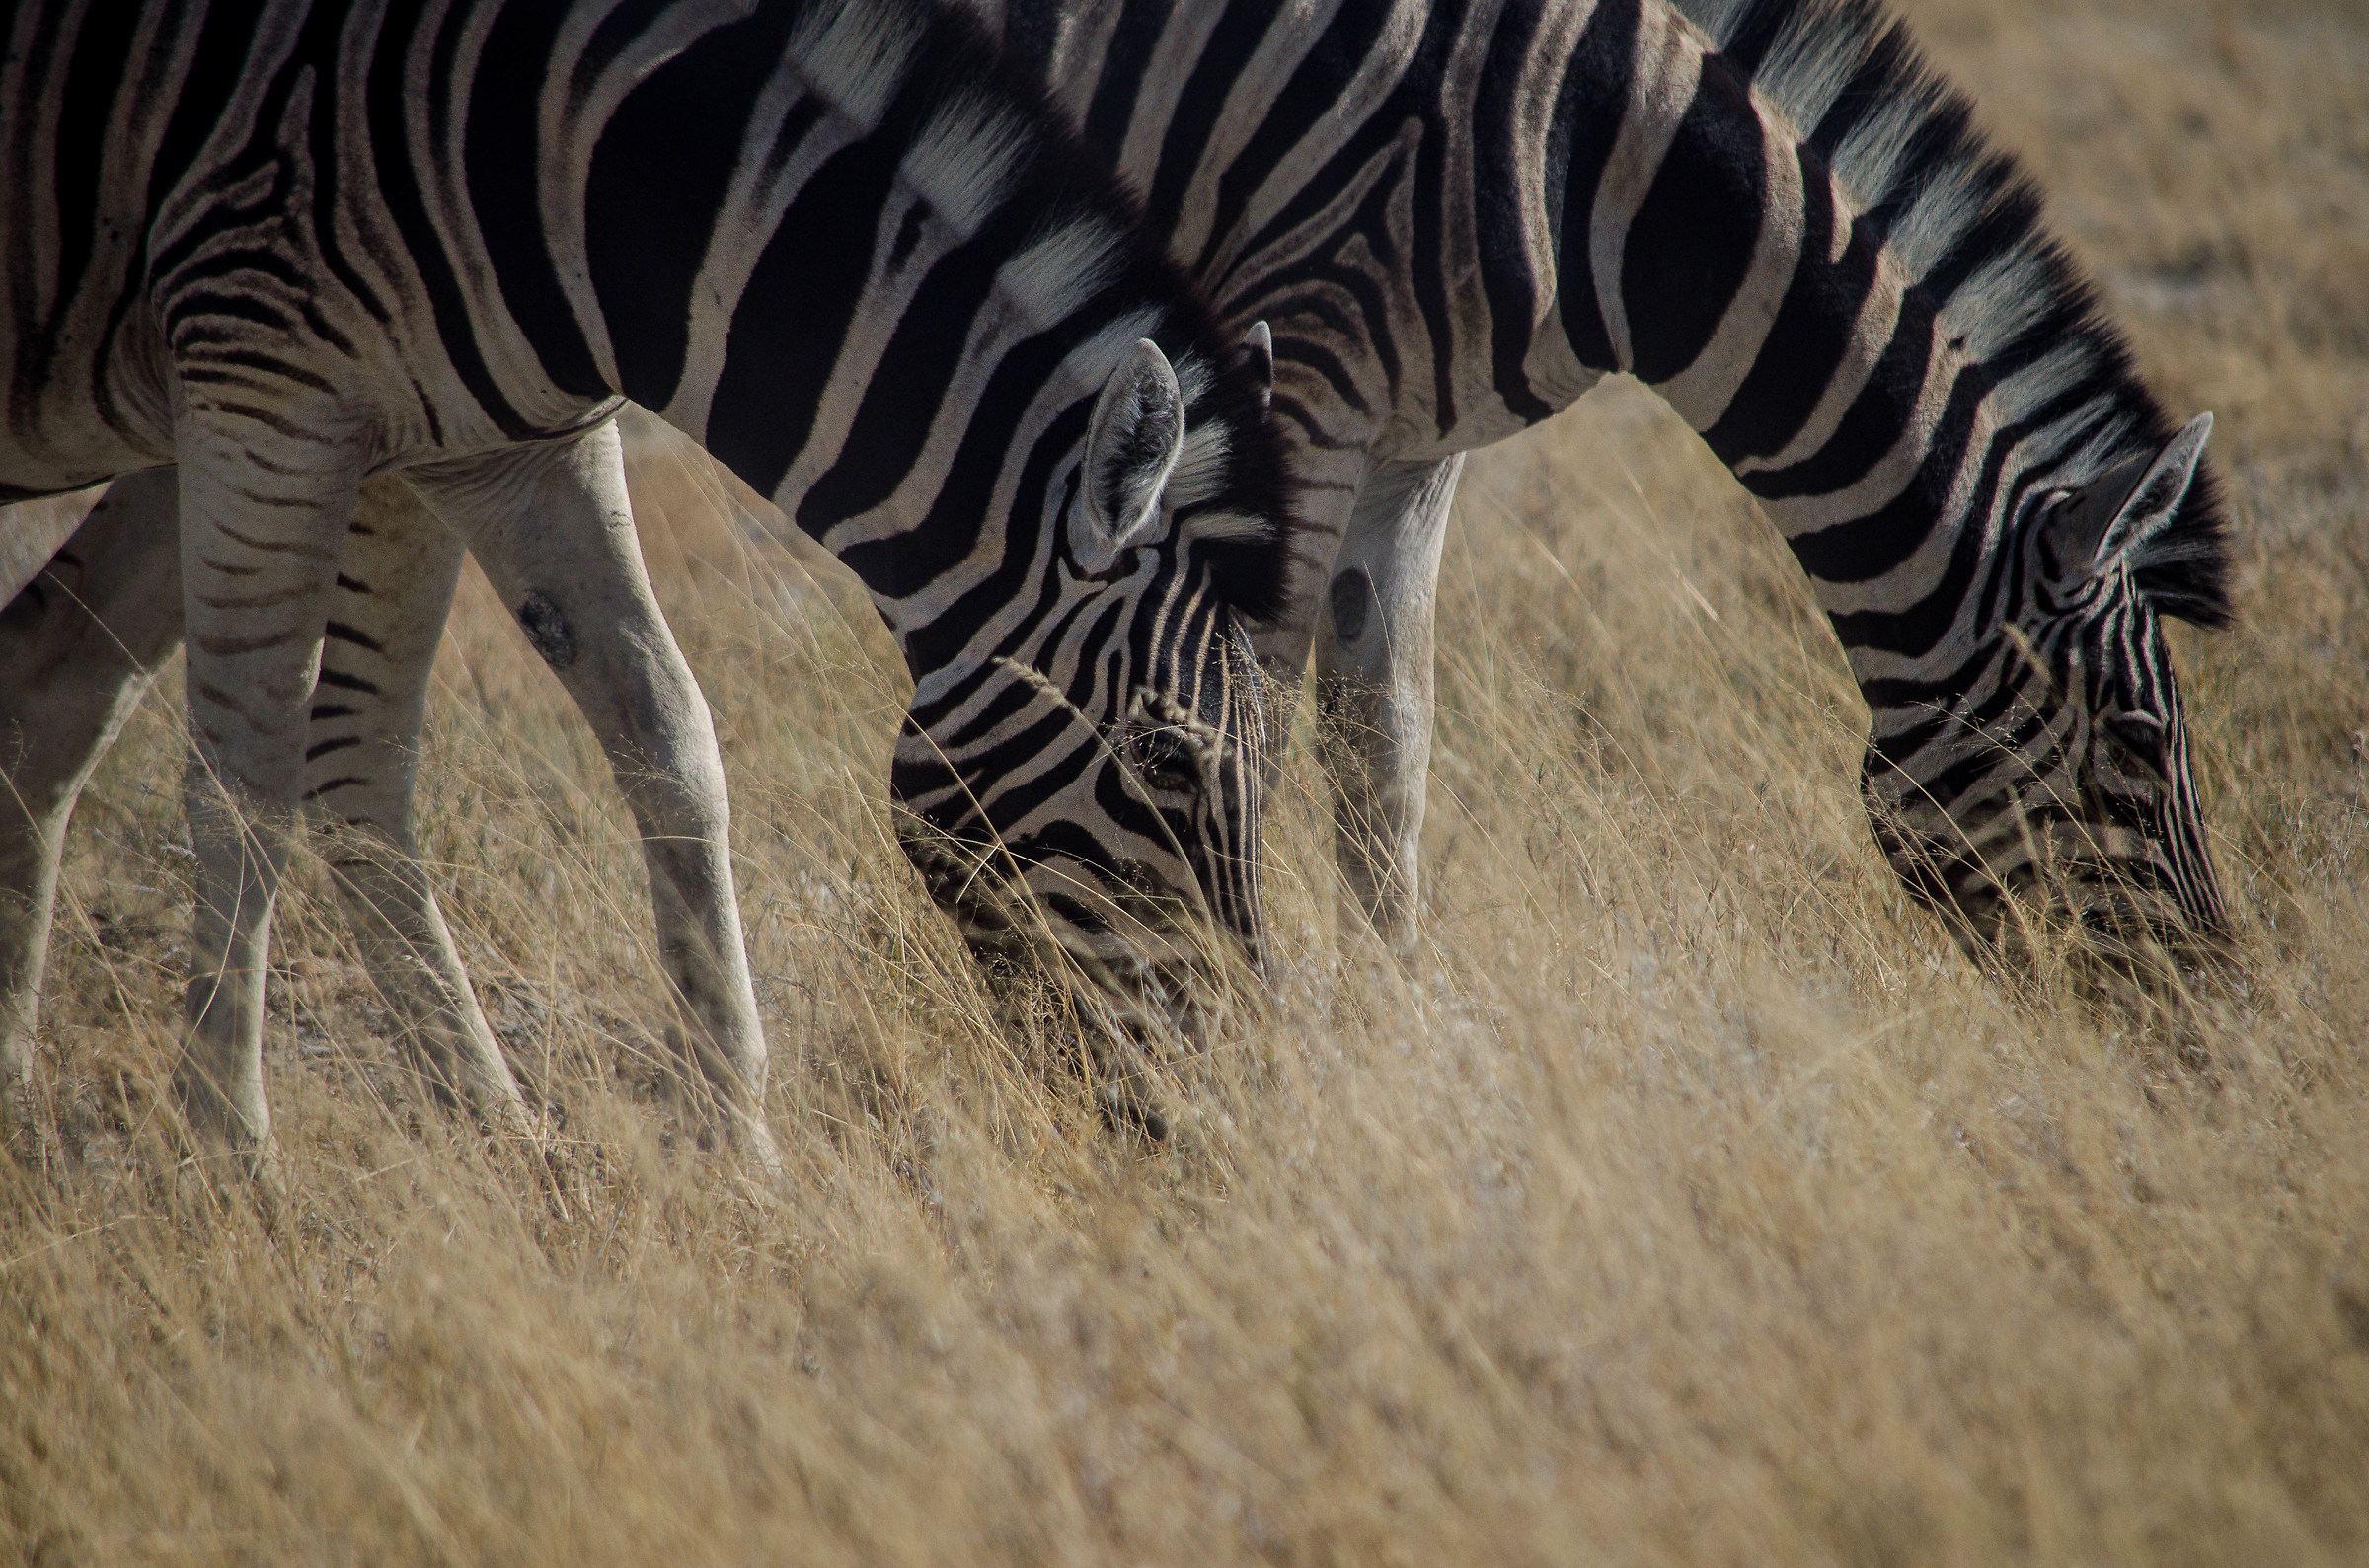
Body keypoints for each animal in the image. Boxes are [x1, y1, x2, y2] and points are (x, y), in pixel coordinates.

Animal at [0, 0, 1297, 1163]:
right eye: (1162, 756)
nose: (1227, 1118)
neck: (588, 151)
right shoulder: (267, 387)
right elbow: (247, 786)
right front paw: (231, 1153)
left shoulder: (496, 441)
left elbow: (667, 742)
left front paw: (732, 1142)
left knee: (57, 680)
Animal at [958, 0, 2236, 967]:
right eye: (2137, 738)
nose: (2216, 1010)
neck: (1603, 176)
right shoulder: (1305, 382)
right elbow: (1250, 717)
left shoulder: (1412, 446)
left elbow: (1387, 744)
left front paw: (1394, 1021)